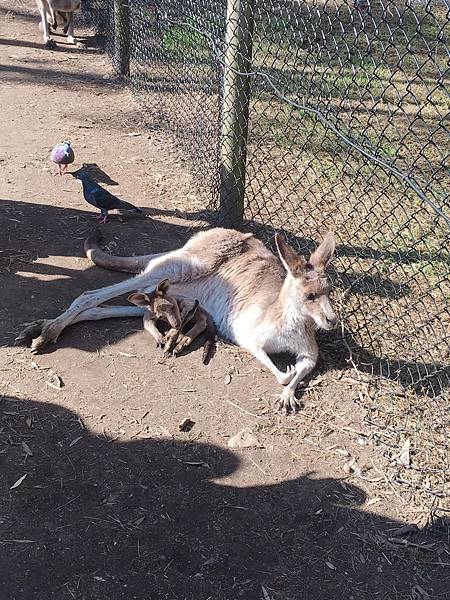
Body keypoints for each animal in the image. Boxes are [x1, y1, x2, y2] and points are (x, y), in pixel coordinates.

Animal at [15, 227, 337, 412]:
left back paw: (38, 328)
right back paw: (47, 332)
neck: (291, 319)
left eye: (329, 291)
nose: (332, 321)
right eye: (309, 295)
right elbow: (275, 366)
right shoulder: (250, 335)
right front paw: (287, 377)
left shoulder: (309, 349)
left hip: (171, 295)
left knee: (105, 307)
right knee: (90, 294)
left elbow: (304, 366)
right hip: (184, 267)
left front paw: (289, 392)